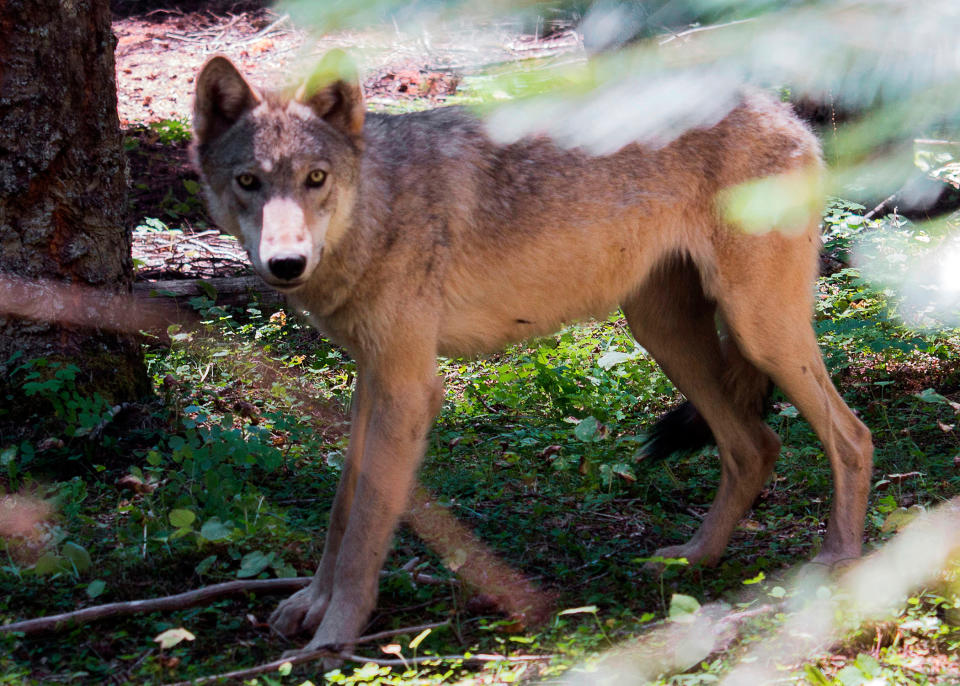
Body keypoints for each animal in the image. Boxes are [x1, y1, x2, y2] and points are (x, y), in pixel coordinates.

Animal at [191, 53, 872, 656]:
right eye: (248, 182)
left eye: (316, 179)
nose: (286, 263)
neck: (377, 209)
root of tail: (784, 111)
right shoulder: (373, 379)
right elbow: (341, 510)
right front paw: (311, 604)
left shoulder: (409, 390)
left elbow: (365, 530)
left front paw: (332, 640)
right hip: (664, 333)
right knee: (755, 445)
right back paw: (694, 559)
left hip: (759, 331)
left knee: (851, 436)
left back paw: (839, 565)